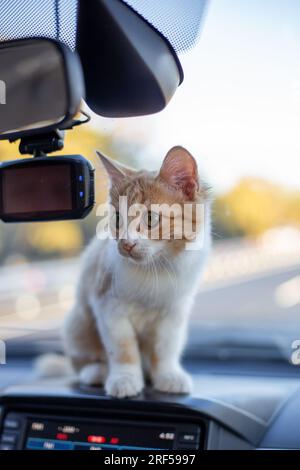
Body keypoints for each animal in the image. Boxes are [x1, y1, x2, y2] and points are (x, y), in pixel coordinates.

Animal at [62, 146, 211, 396]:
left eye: (151, 218)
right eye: (117, 219)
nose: (126, 244)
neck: (155, 268)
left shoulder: (174, 313)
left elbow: (165, 347)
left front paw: (168, 375)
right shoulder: (108, 308)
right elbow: (122, 349)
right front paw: (124, 379)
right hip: (76, 324)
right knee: (82, 360)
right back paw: (96, 372)